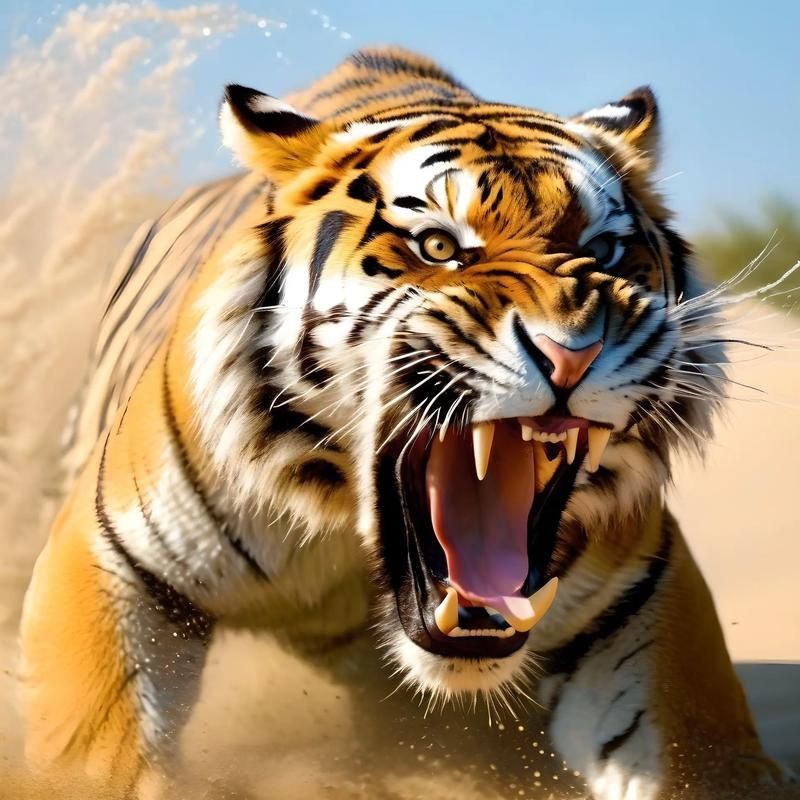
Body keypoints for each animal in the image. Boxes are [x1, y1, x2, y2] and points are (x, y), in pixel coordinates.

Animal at [19, 46, 784, 799]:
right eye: (438, 247)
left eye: (604, 251)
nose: (572, 353)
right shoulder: (113, 555)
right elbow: (89, 754)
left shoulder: (642, 601)